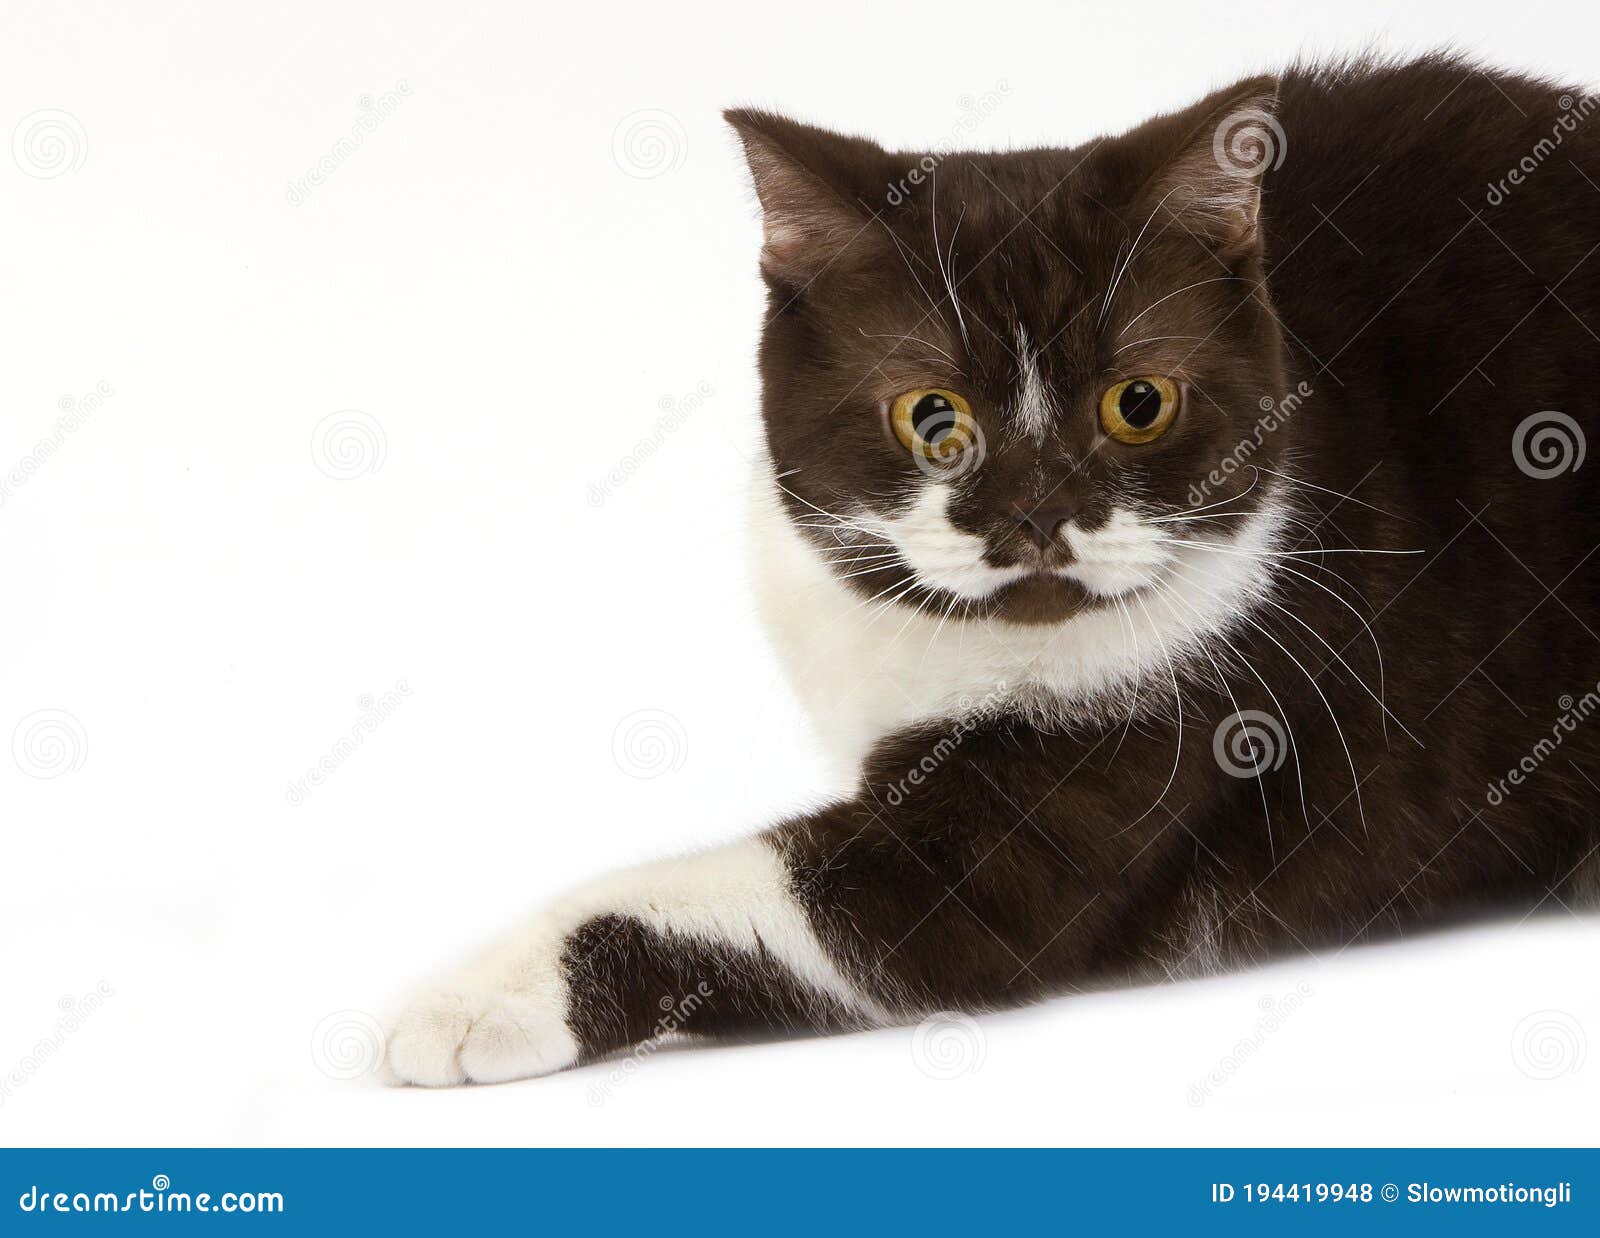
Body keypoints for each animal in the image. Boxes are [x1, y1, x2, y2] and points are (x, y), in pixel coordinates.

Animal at [384, 55, 1600, 1087]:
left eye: (1138, 402)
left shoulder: (1164, 747)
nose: (1036, 512)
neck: (957, 639)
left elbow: (764, 897)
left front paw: (468, 999)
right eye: (933, 417)